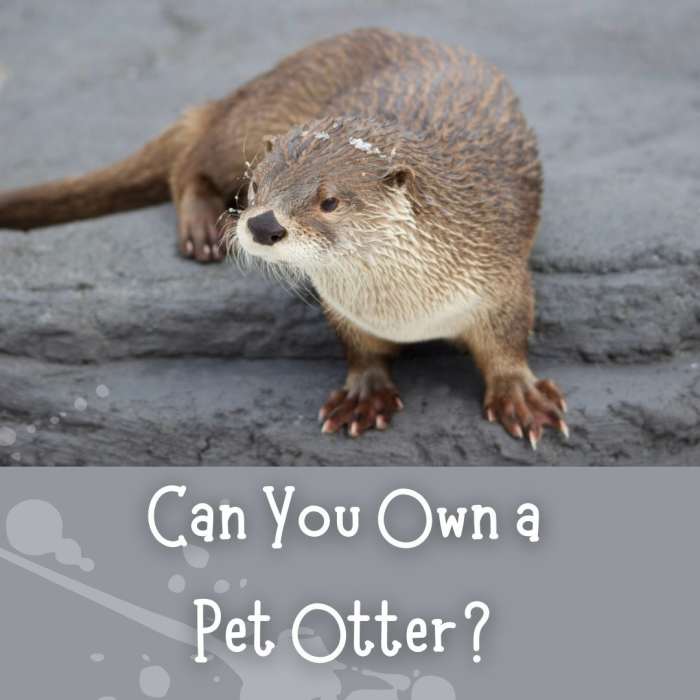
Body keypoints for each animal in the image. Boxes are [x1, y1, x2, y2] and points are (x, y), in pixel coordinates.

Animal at [0, 28, 568, 448]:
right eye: (257, 186)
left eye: (330, 200)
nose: (262, 224)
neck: (403, 310)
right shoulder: (344, 308)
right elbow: (359, 349)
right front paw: (362, 393)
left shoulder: (502, 280)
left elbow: (508, 341)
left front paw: (521, 396)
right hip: (248, 123)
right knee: (190, 155)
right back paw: (200, 226)